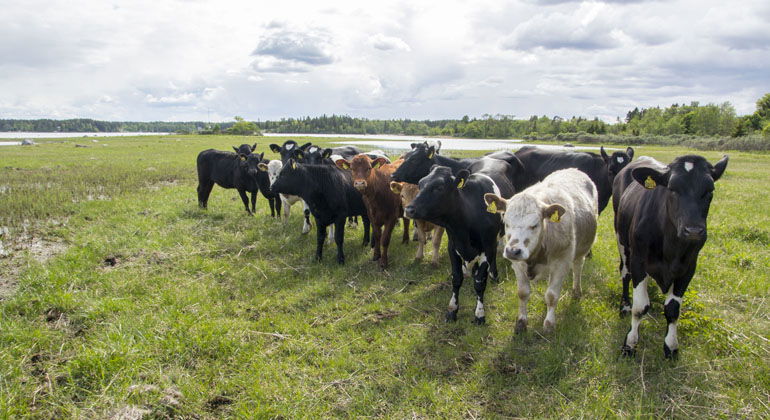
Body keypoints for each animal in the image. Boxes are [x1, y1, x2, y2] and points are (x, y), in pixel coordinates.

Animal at [404, 165, 512, 324]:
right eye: (420, 184)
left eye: (439, 187)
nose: (409, 209)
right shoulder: (453, 247)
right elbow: (456, 279)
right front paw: (452, 310)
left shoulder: (486, 248)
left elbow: (479, 282)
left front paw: (479, 314)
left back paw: (493, 275)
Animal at [484, 169, 596, 334]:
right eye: (506, 222)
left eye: (534, 225)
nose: (513, 251)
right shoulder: (518, 265)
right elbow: (523, 293)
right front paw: (521, 322)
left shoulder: (561, 262)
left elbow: (552, 295)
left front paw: (549, 324)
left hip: (582, 250)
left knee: (577, 267)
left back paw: (576, 291)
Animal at [612, 154, 728, 358]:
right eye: (672, 188)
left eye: (710, 190)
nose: (694, 230)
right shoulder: (638, 261)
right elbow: (640, 307)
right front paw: (630, 343)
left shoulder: (689, 267)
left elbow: (673, 309)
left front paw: (671, 346)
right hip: (622, 240)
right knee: (625, 273)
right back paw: (624, 305)